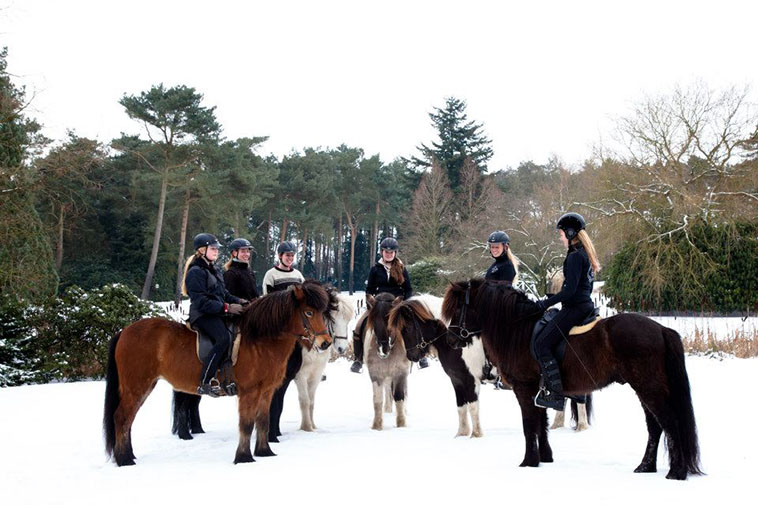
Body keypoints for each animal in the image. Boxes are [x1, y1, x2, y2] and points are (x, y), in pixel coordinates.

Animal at [104, 280, 332, 464]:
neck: (259, 339)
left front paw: (264, 452)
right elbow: (246, 424)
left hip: (143, 386)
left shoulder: (266, 391)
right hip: (136, 386)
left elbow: (263, 421)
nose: (326, 342)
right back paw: (124, 460)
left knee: (128, 420)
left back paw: (128, 455)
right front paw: (243, 457)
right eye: (309, 312)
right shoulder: (249, 392)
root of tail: (124, 331)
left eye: (323, 312)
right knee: (122, 417)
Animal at [366, 292, 412, 430]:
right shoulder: (376, 375)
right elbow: (377, 399)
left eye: (391, 322)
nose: (383, 349)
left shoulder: (400, 374)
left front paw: (401, 423)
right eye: (374, 322)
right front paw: (377, 426)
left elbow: (399, 397)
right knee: (387, 390)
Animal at [388, 296, 490, 438]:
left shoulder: (471, 380)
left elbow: (473, 407)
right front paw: (461, 434)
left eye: (407, 328)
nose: (411, 356)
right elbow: (461, 406)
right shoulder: (457, 380)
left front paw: (476, 435)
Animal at [442, 280, 704, 480]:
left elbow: (529, 425)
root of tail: (661, 329)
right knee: (655, 426)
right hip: (645, 389)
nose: (452, 340)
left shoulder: (524, 388)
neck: (518, 330)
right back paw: (645, 467)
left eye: (459, 308)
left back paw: (677, 472)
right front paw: (544, 458)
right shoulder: (540, 392)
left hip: (649, 388)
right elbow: (541, 424)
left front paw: (528, 461)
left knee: (670, 423)